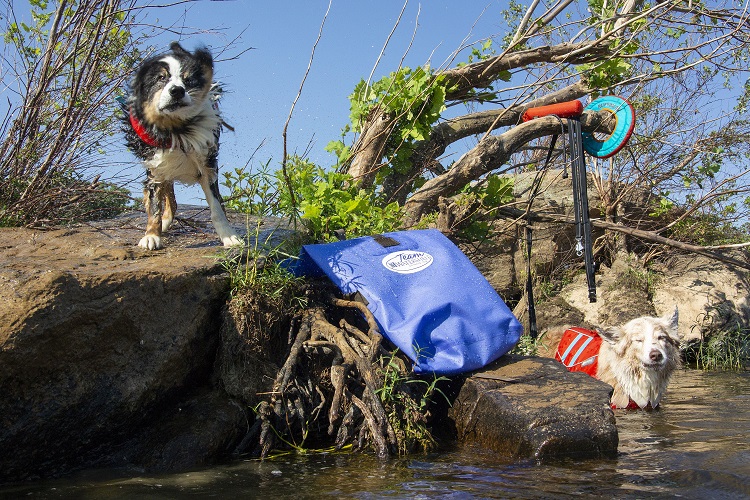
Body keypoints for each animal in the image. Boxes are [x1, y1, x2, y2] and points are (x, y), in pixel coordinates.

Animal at [122, 42, 242, 249]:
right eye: (161, 78)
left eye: (188, 80)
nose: (177, 90)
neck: (177, 129)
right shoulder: (156, 166)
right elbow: (155, 205)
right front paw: (151, 235)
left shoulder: (207, 164)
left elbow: (217, 206)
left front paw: (229, 236)